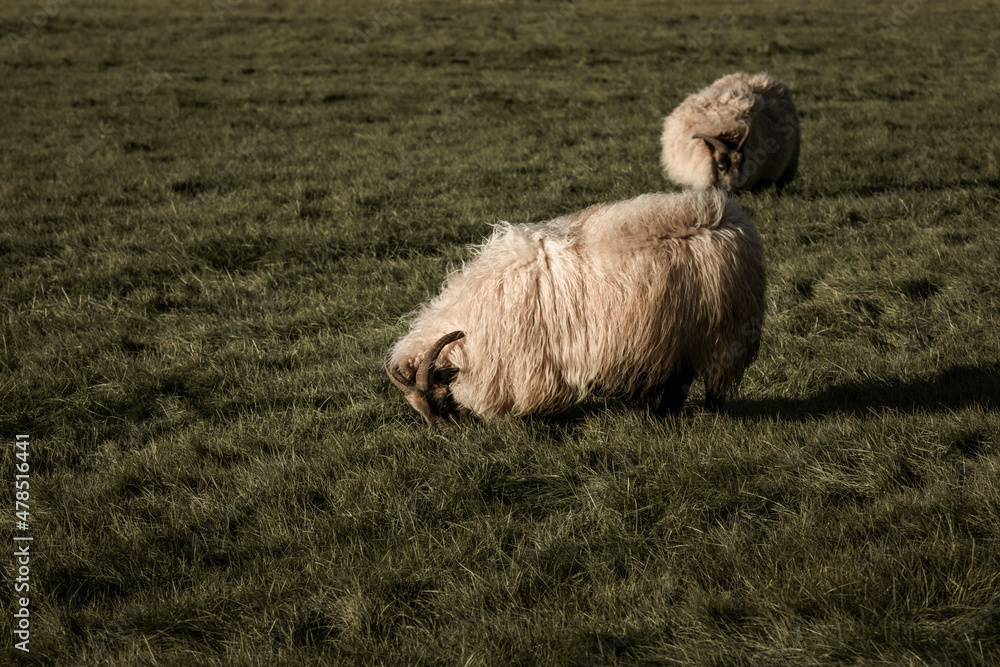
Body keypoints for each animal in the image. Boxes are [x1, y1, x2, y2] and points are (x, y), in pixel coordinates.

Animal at [385, 189, 766, 427]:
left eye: (439, 399)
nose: (446, 436)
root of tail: (730, 216)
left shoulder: (531, 361)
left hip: (719, 331)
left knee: (709, 382)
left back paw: (698, 415)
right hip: (680, 334)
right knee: (680, 378)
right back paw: (663, 415)